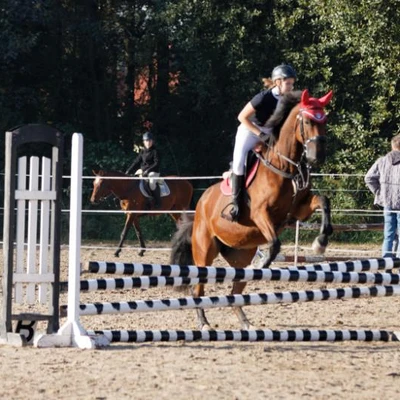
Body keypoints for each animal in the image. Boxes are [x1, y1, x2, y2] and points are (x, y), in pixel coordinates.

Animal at [170, 89, 332, 330]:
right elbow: (274, 244)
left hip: (240, 255)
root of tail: (200, 205)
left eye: (324, 121)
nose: (317, 157)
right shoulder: (260, 214)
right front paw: (263, 262)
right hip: (204, 252)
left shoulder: (299, 211)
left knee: (235, 291)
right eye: (308, 121)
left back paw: (246, 323)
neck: (285, 167)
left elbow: (324, 201)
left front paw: (320, 242)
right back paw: (204, 323)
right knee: (198, 288)